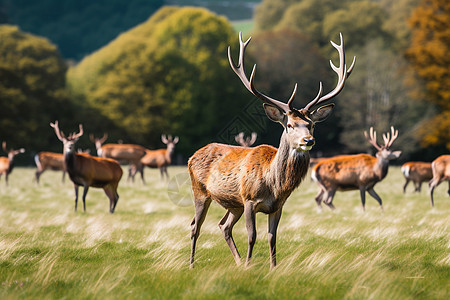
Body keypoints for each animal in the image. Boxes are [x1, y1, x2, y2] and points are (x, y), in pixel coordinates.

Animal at [187, 32, 356, 270]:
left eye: (312, 124)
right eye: (289, 125)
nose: (309, 140)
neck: (274, 185)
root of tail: (192, 156)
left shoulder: (277, 206)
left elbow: (272, 238)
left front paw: (272, 268)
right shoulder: (249, 200)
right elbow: (252, 236)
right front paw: (249, 267)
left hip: (233, 204)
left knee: (223, 226)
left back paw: (237, 261)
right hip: (201, 192)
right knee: (195, 226)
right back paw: (192, 265)